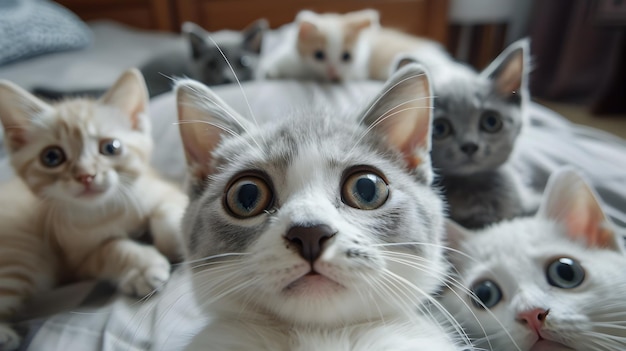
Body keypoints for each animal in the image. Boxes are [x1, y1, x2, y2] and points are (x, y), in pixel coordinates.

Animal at [0, 69, 188, 351]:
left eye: (111, 147)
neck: (108, 210)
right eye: (51, 157)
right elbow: (111, 248)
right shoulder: (77, 261)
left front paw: (176, 238)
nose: (86, 176)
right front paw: (143, 267)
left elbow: (166, 210)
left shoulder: (165, 189)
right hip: (20, 257)